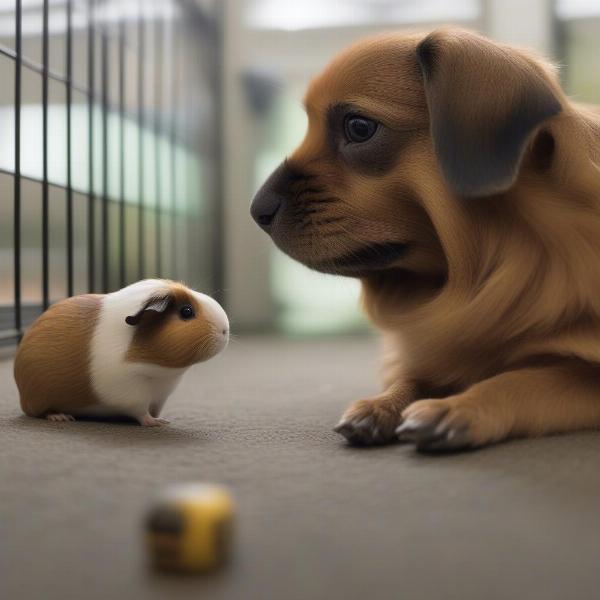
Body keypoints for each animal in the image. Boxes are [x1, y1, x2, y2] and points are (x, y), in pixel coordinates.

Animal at [251, 27, 600, 450]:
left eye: (359, 128)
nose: (257, 210)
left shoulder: (584, 375)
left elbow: (521, 380)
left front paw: (462, 407)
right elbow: (412, 376)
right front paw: (382, 404)